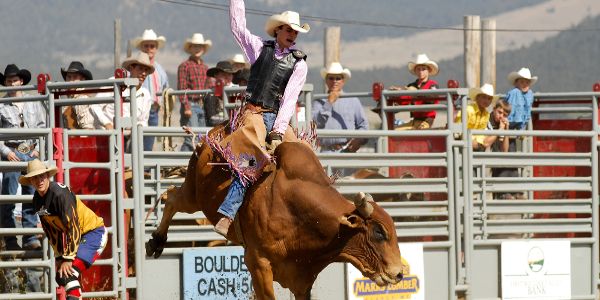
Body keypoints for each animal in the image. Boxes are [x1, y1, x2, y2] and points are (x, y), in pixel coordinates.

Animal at [147, 126, 406, 298]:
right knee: (171, 197)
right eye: (378, 232)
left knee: (170, 196)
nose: (399, 274)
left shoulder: (302, 278)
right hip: (194, 196)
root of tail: (211, 134)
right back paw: (156, 242)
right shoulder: (258, 262)